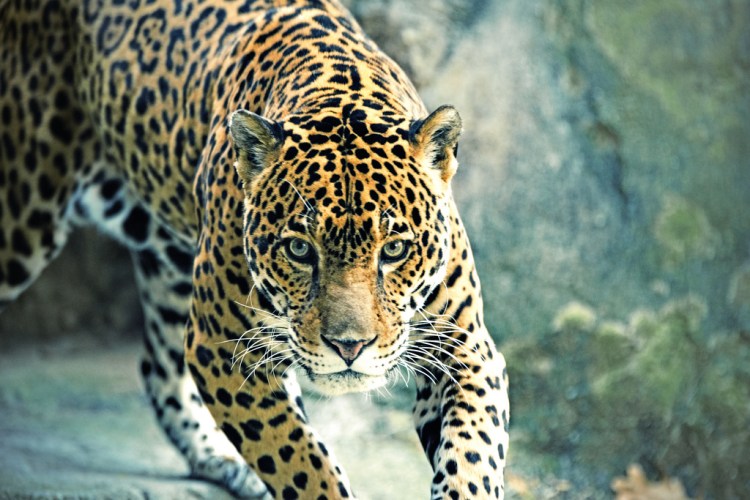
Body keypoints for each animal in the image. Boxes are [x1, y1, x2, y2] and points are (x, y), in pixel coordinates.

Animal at [0, 0, 510, 498]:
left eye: (396, 249)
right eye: (300, 250)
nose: (350, 347)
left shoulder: (467, 348)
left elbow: (471, 458)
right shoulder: (223, 348)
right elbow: (301, 464)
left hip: (171, 261)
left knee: (157, 364)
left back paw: (221, 460)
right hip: (24, 221)